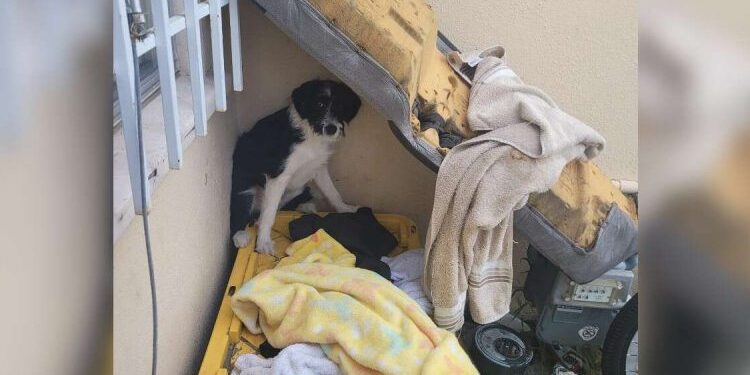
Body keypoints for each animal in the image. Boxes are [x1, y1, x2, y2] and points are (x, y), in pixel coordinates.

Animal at [231, 79, 362, 256]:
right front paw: (264, 242)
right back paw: (240, 234)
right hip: (246, 185)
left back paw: (304, 206)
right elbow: (269, 213)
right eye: (320, 104)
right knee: (242, 209)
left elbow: (332, 192)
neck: (312, 135)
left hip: (297, 188)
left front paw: (345, 209)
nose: (331, 128)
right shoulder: (278, 176)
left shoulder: (319, 167)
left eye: (340, 107)